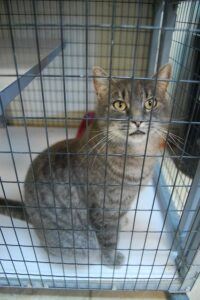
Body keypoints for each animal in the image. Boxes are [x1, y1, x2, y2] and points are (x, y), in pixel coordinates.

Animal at [0, 64, 172, 266]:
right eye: (119, 104)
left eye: (150, 103)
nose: (138, 120)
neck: (138, 158)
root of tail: (28, 211)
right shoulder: (103, 208)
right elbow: (107, 237)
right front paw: (111, 259)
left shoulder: (124, 201)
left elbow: (119, 218)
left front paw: (122, 223)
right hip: (79, 243)